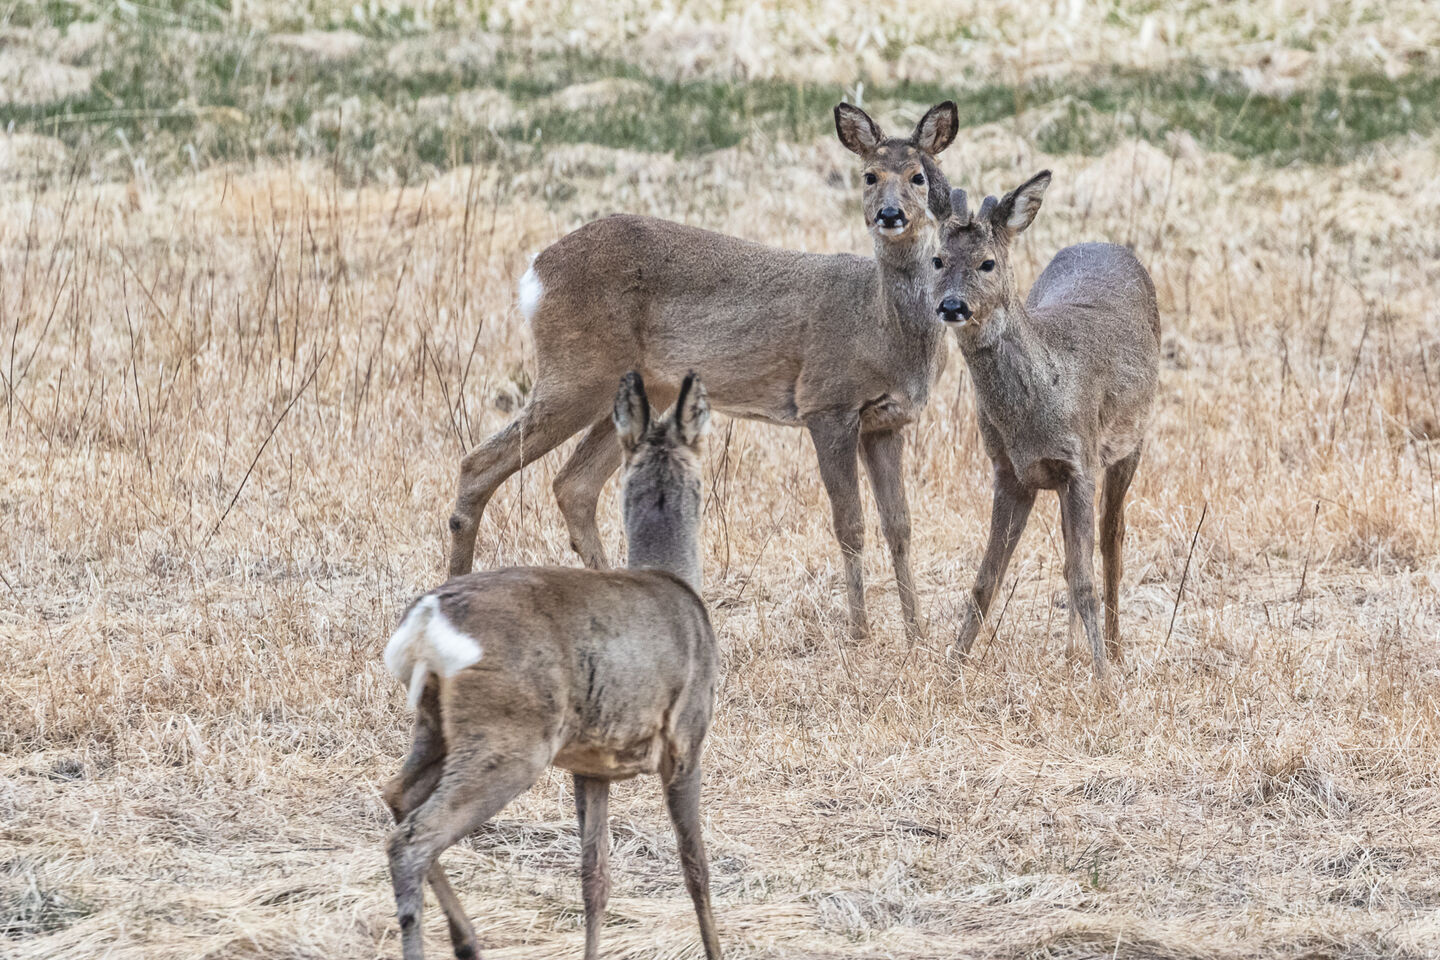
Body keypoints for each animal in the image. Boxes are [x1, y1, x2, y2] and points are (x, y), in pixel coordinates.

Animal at [443, 101, 961, 641]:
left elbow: (900, 525)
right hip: (576, 369)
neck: (881, 325)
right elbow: (851, 524)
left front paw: (916, 633)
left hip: (641, 384)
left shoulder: (887, 421)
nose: (889, 214)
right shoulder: (827, 402)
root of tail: (534, 272)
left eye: (919, 176)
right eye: (868, 175)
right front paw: (860, 633)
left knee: (573, 485)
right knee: (479, 462)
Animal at [933, 174, 1157, 682]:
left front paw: (1104, 682)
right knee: (1074, 556)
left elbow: (1086, 580)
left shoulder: (1081, 462)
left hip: (1131, 441)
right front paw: (951, 669)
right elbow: (985, 580)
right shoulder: (1010, 472)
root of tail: (1104, 243)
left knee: (1112, 539)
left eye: (988, 262)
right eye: (936, 259)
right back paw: (1073, 652)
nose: (951, 305)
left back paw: (1115, 651)